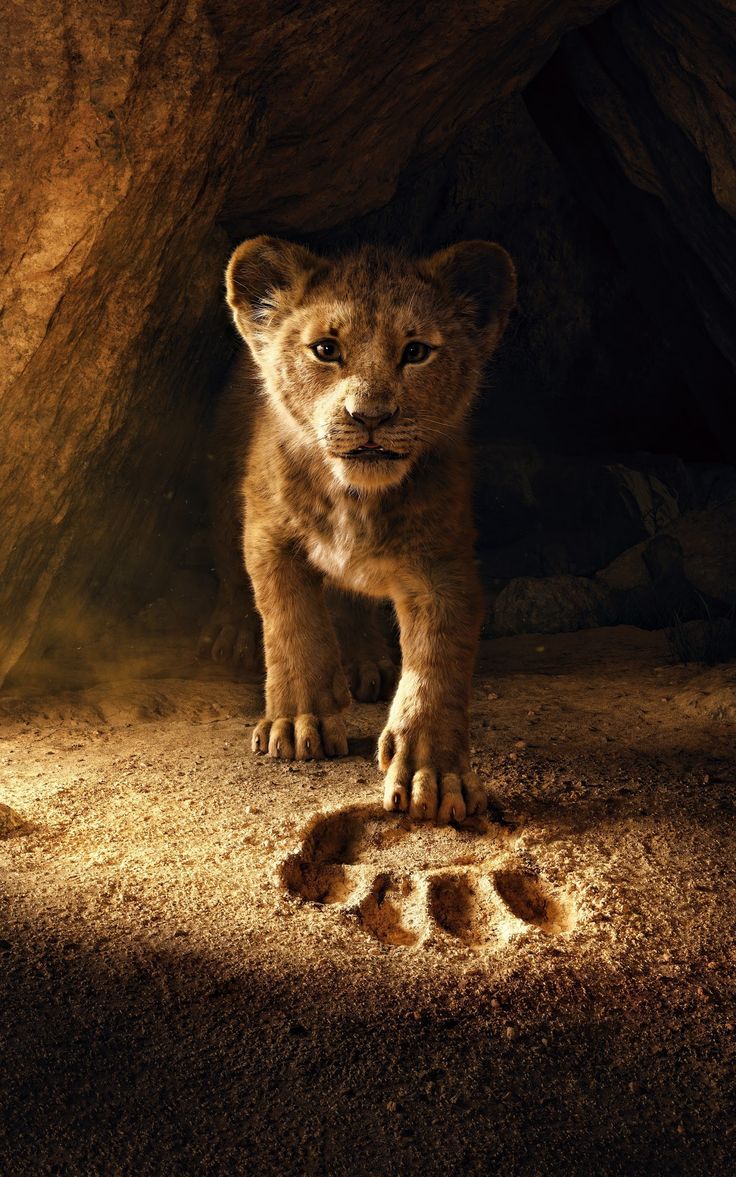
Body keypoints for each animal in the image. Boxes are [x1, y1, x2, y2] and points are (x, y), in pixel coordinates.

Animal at [204, 236, 516, 823]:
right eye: (326, 349)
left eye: (416, 352)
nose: (369, 416)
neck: (355, 497)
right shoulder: (269, 535)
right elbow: (292, 625)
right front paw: (297, 721)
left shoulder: (442, 566)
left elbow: (436, 664)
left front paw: (432, 774)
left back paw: (364, 661)